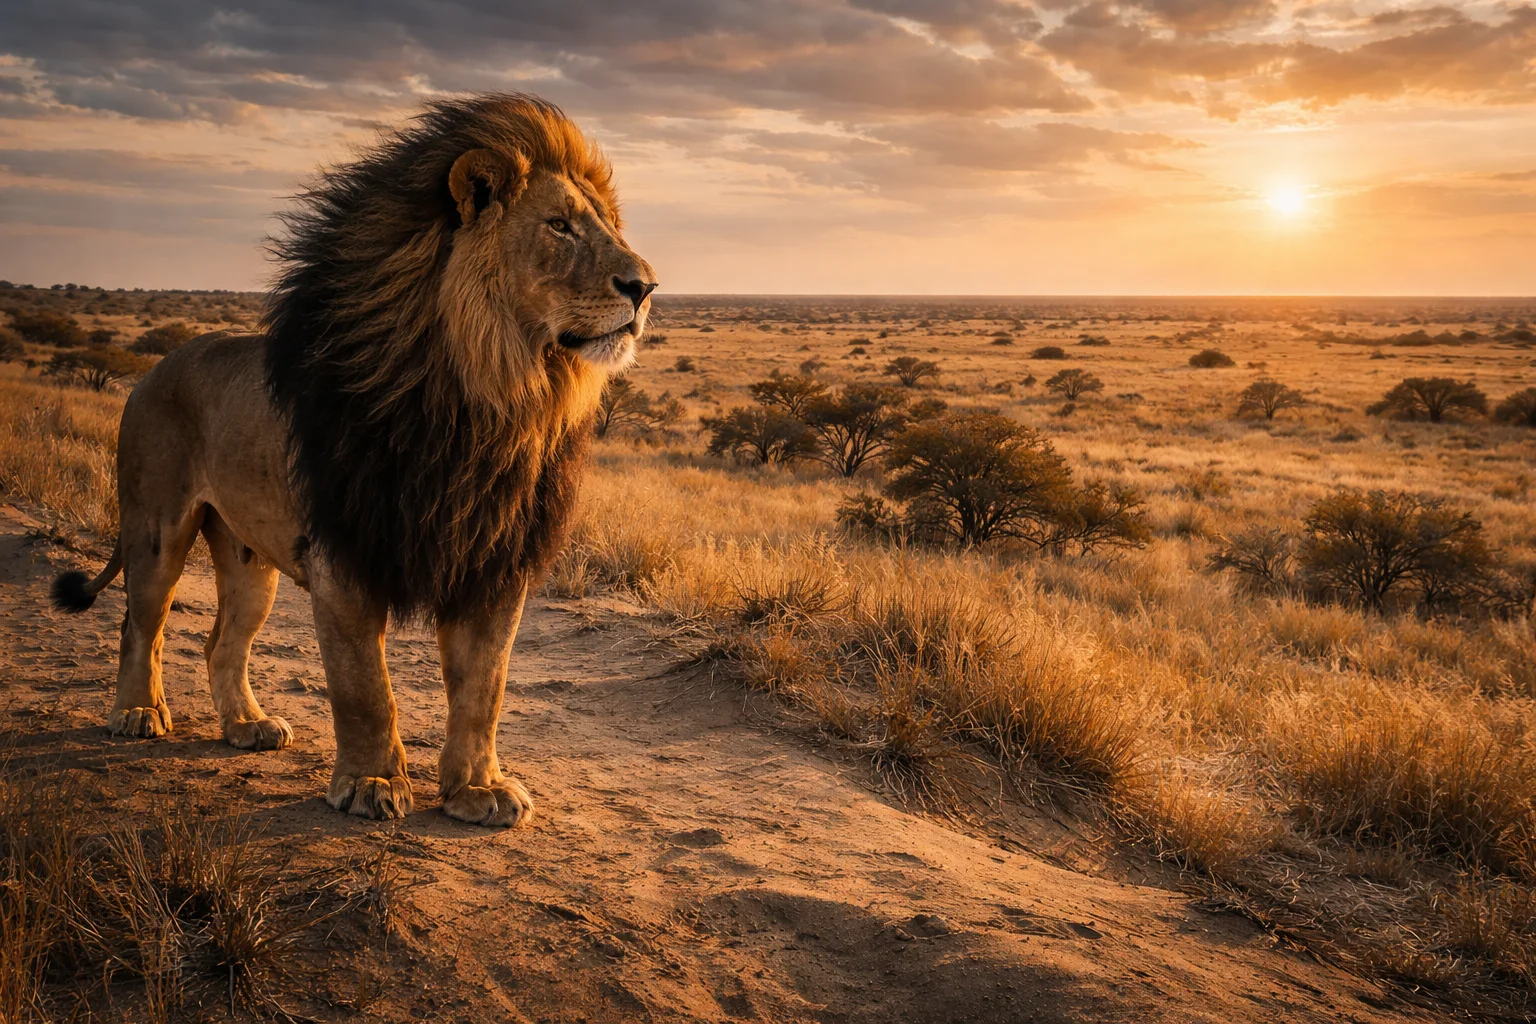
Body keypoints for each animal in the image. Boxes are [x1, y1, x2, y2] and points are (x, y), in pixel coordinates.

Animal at [49, 94, 657, 826]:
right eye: (560, 227)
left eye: (607, 226)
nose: (645, 287)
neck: (484, 399)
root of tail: (152, 369)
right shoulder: (345, 555)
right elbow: (365, 686)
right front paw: (371, 783)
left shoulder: (492, 563)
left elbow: (484, 688)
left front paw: (477, 789)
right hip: (155, 528)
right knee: (140, 624)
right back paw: (138, 713)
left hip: (250, 560)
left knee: (222, 641)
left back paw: (246, 726)